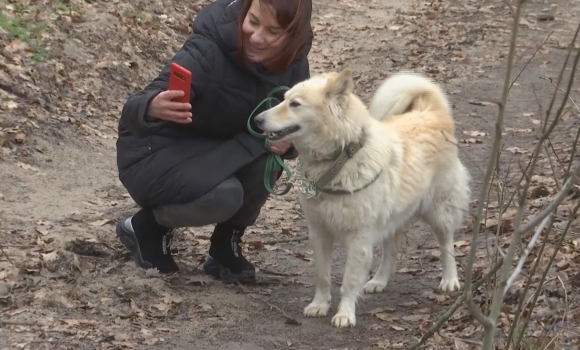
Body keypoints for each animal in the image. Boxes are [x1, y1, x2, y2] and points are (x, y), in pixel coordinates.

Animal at [254, 69, 472, 328]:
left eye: (295, 104)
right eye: (284, 99)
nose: (256, 120)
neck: (340, 159)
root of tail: (430, 111)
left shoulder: (359, 238)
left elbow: (348, 281)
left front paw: (345, 314)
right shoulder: (319, 232)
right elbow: (323, 276)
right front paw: (319, 305)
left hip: (440, 211)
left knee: (446, 244)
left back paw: (450, 280)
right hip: (392, 218)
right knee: (391, 251)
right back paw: (379, 281)